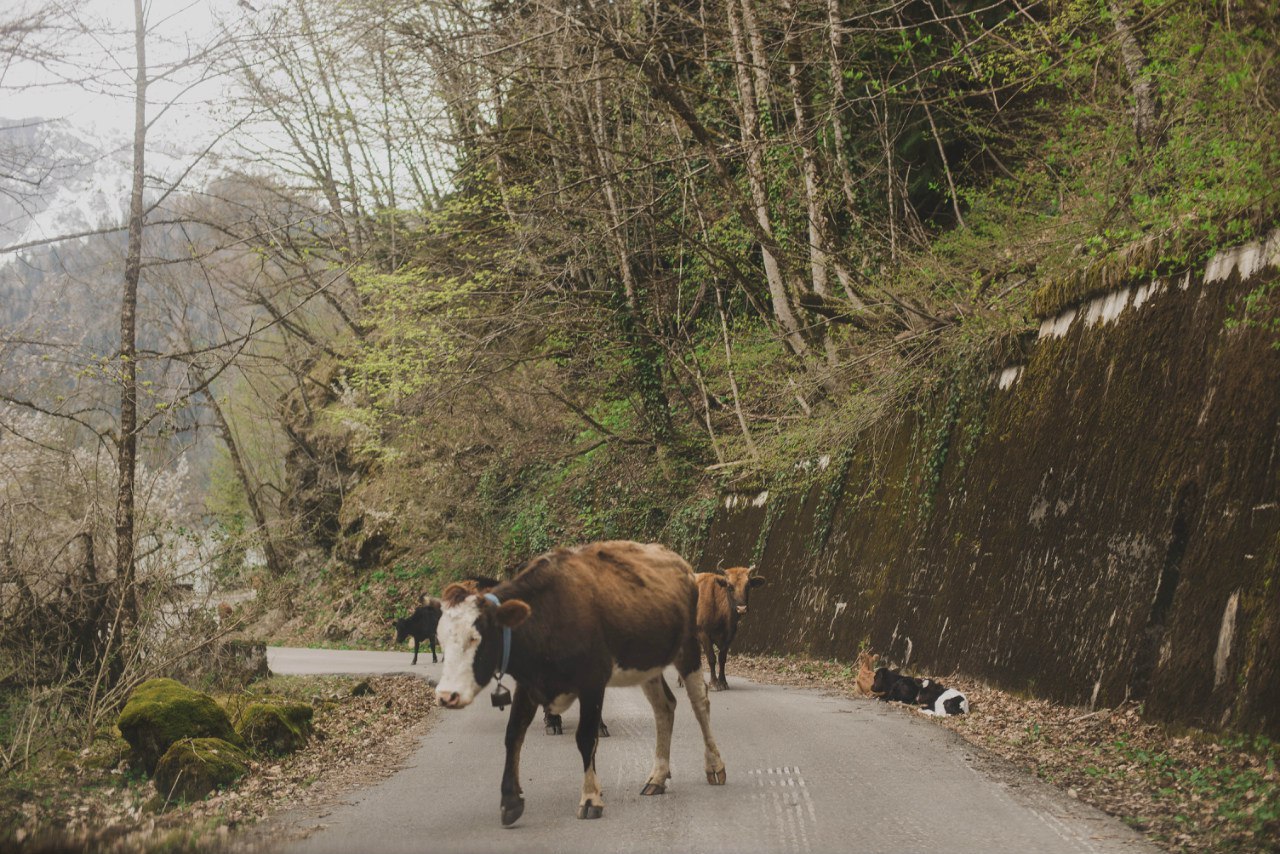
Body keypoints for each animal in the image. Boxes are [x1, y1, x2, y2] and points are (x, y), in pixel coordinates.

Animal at [435, 540, 727, 829]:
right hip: (648, 661)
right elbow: (513, 735)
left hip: (689, 646)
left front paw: (590, 799)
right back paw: (657, 777)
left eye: (476, 638)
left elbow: (586, 737)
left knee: (700, 702)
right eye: (441, 640)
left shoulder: (592, 681)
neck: (548, 616)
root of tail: (682, 564)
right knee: (664, 707)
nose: (446, 695)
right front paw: (510, 801)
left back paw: (714, 765)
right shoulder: (529, 684)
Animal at [696, 568, 762, 696]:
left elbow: (722, 659)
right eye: (730, 586)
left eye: (748, 586)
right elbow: (711, 658)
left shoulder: (729, 636)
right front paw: (714, 683)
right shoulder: (703, 633)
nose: (741, 608)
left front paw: (723, 682)